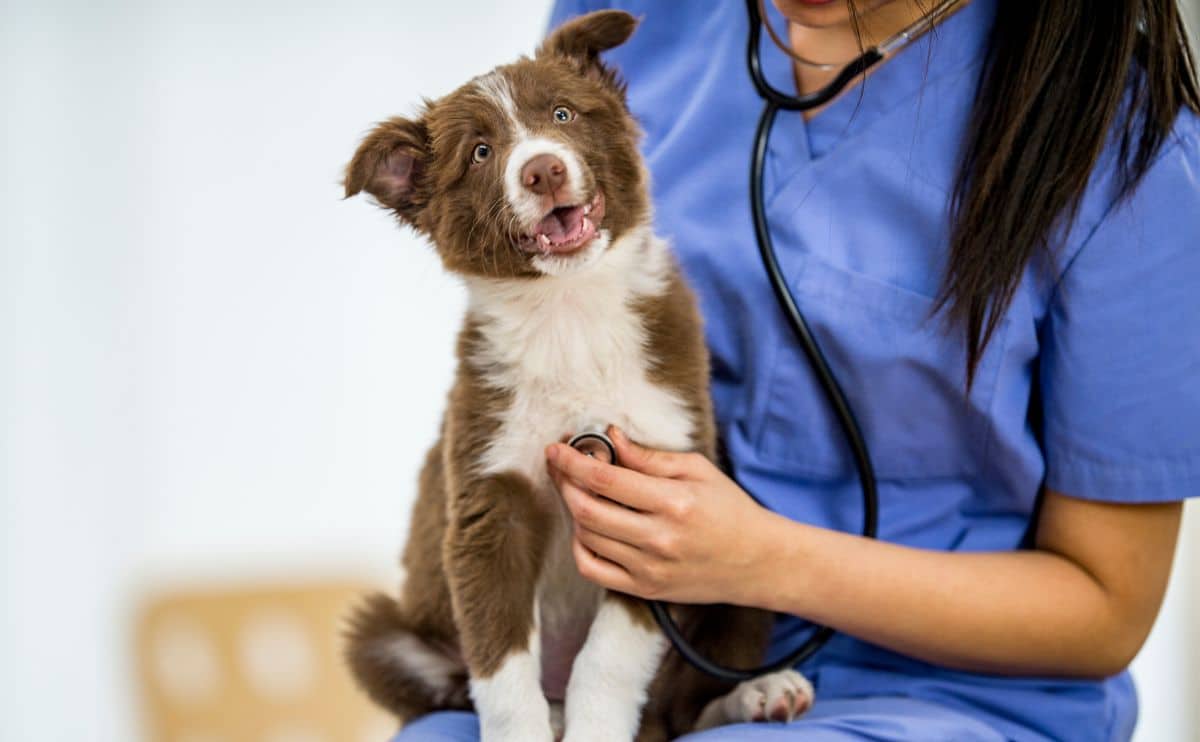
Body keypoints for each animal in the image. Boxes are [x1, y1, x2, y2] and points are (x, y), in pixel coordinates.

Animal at [345, 11, 816, 739]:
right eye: (481, 153)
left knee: (686, 704)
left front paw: (599, 726)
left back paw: (760, 693)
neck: (567, 313)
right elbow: (502, 668)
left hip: (744, 558)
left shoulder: (653, 494)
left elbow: (611, 657)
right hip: (385, 635)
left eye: (563, 114)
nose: (542, 169)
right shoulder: (491, 500)